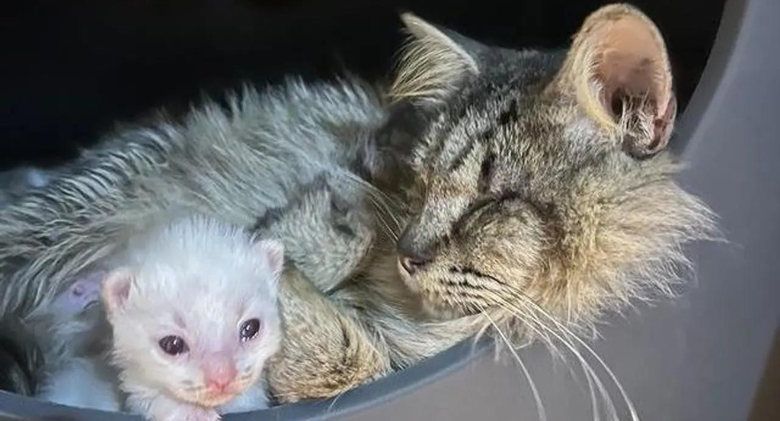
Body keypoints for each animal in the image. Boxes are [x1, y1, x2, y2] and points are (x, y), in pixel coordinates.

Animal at [0, 4, 712, 404]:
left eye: (491, 201)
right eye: (421, 180)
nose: (408, 255)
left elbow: (352, 363)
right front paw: (325, 229)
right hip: (65, 209)